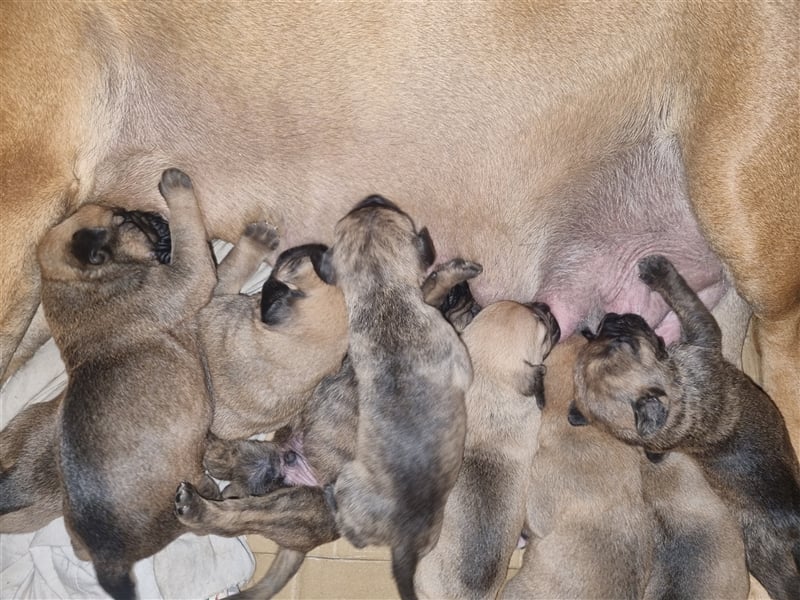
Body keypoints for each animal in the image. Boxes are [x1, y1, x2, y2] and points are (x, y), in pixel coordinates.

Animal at [36, 170, 220, 600]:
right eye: (127, 221)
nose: (149, 213)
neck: (78, 281)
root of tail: (108, 561)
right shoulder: (187, 276)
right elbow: (190, 231)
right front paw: (176, 188)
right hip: (183, 486)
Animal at [572, 255, 800, 596]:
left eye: (614, 340)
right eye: (626, 343)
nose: (610, 317)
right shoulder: (702, 334)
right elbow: (685, 298)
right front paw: (658, 270)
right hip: (764, 554)